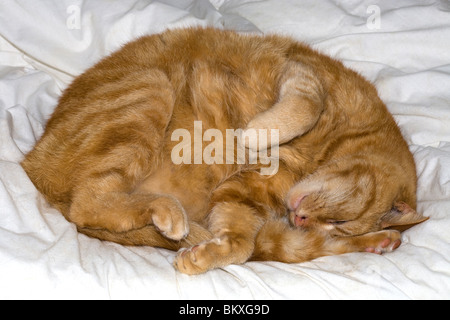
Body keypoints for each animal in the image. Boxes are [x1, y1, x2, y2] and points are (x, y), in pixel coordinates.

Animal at [22, 26, 428, 276]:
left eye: (338, 225)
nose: (300, 219)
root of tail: (32, 162)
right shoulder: (302, 73)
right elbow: (303, 108)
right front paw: (253, 133)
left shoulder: (245, 194)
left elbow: (240, 244)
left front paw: (204, 256)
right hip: (151, 87)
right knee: (87, 202)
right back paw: (168, 212)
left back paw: (382, 242)